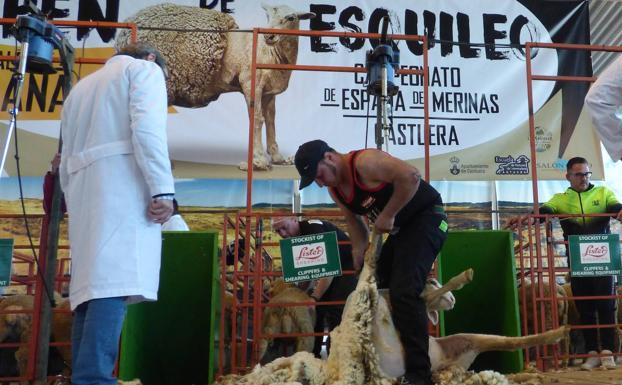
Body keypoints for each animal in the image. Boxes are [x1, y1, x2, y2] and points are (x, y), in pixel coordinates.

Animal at [115, 2, 314, 168]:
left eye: (291, 18)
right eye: (268, 16)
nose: (269, 36)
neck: (269, 54)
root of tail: (123, 35)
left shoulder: (268, 92)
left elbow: (271, 120)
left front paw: (277, 157)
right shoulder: (251, 83)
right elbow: (257, 119)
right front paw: (258, 160)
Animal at [216, 231, 572, 384]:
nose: (453, 302)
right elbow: (420, 292)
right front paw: (455, 283)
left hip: (464, 338)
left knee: (510, 341)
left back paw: (557, 334)